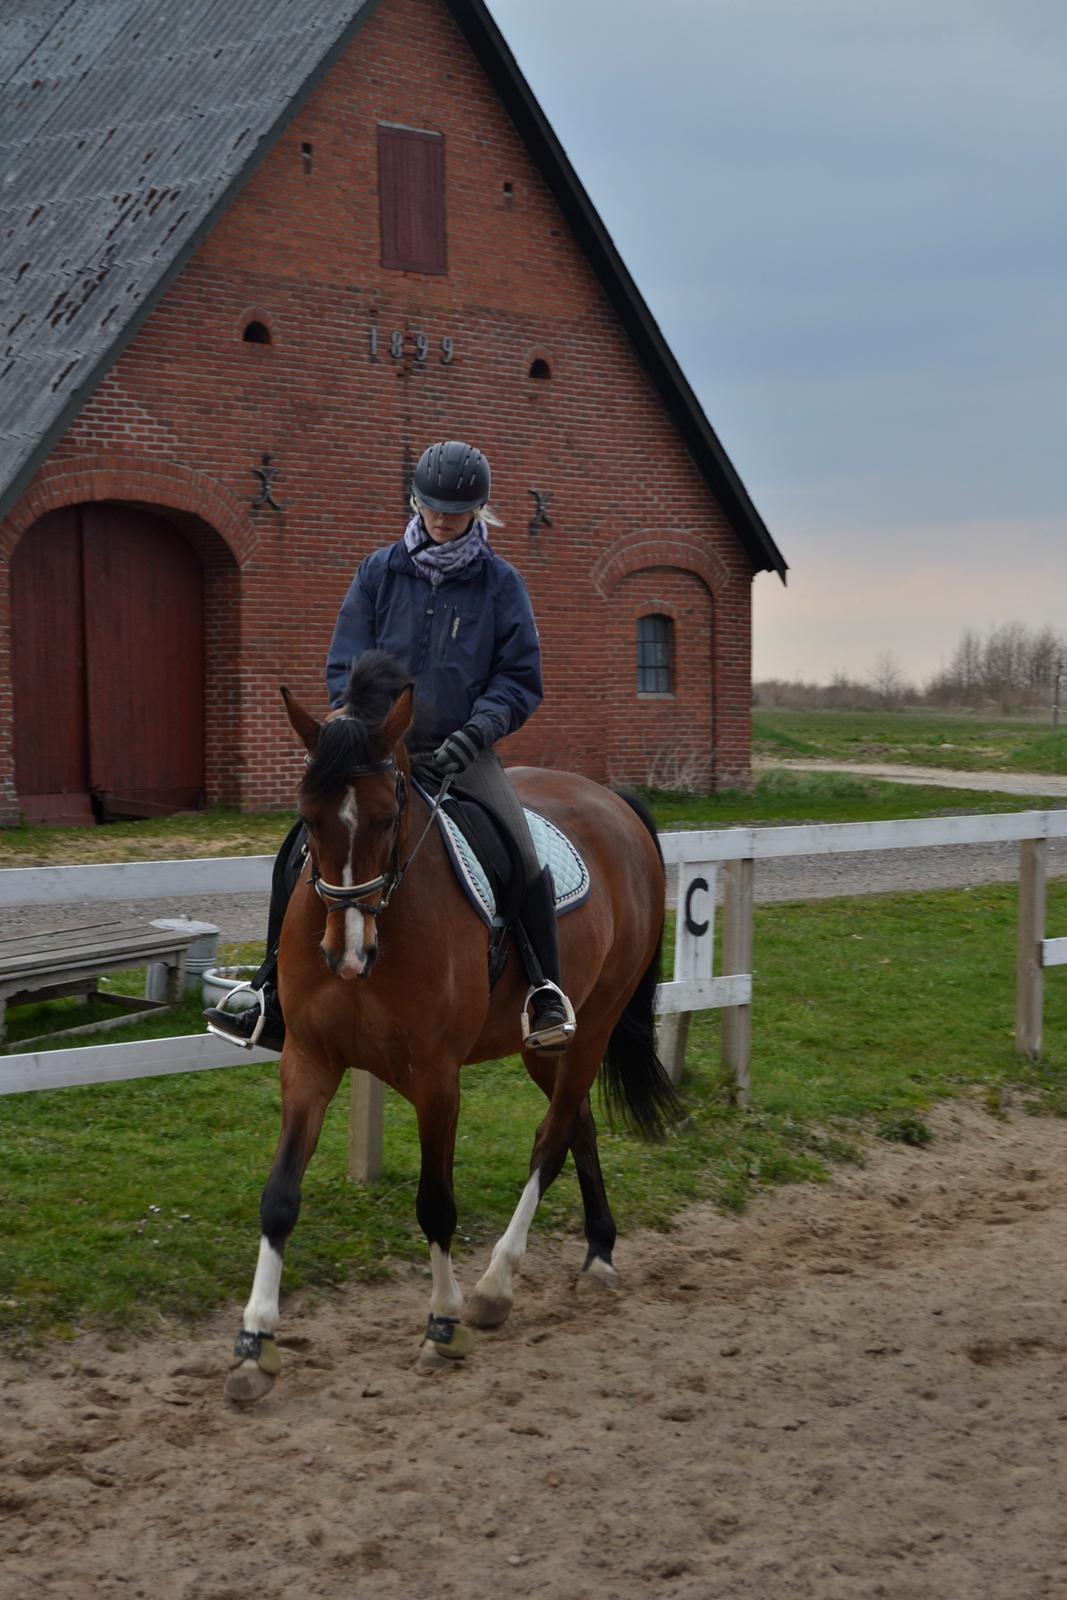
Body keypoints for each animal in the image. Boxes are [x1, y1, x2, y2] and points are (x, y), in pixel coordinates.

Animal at [227, 649, 675, 1401]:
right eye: (307, 818)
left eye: (388, 818)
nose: (346, 954)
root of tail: (615, 804)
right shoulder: (309, 1062)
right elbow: (278, 1197)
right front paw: (255, 1343)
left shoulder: (437, 1079)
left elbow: (435, 1202)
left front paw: (443, 1324)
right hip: (542, 1046)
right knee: (577, 1124)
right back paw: (598, 1251)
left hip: (594, 1024)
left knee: (553, 1137)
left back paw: (496, 1286)